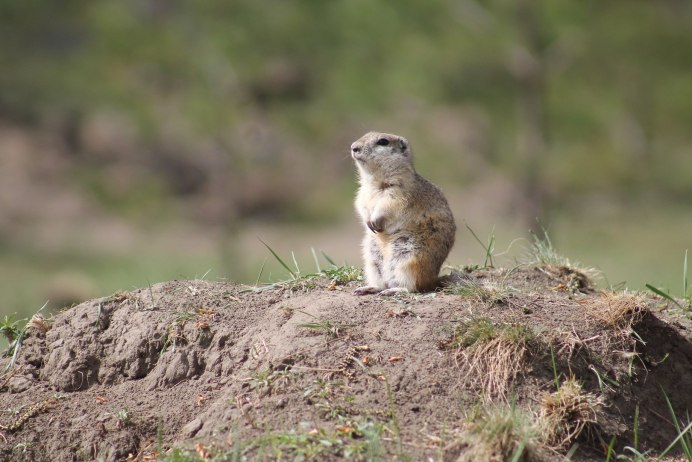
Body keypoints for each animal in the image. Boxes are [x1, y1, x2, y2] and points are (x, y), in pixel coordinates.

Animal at [348, 130, 456, 296]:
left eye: (383, 141)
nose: (354, 147)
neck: (375, 182)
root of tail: (432, 281)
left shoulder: (399, 192)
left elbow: (387, 206)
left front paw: (374, 220)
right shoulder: (362, 192)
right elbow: (361, 205)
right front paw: (368, 221)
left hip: (409, 259)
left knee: (412, 287)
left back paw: (394, 290)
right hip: (372, 260)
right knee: (382, 282)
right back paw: (368, 288)